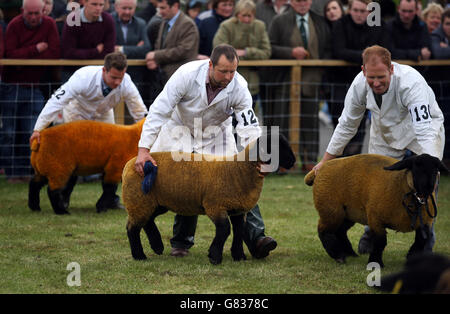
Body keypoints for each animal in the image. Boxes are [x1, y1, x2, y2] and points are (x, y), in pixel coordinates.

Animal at [121, 131, 296, 264]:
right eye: (276, 146)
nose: (293, 161)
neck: (239, 169)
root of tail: (131, 163)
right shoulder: (215, 206)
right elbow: (225, 229)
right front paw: (215, 256)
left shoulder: (238, 210)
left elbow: (239, 231)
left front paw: (238, 256)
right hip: (139, 199)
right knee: (132, 228)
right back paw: (139, 255)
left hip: (155, 202)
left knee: (147, 220)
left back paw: (157, 246)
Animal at [304, 153, 448, 266]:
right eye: (415, 168)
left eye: (435, 170)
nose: (427, 188)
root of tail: (320, 169)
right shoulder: (376, 219)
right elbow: (380, 242)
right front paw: (376, 262)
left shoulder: (424, 223)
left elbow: (420, 242)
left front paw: (412, 259)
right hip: (331, 209)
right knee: (323, 231)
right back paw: (338, 255)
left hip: (347, 213)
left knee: (340, 231)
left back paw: (350, 253)